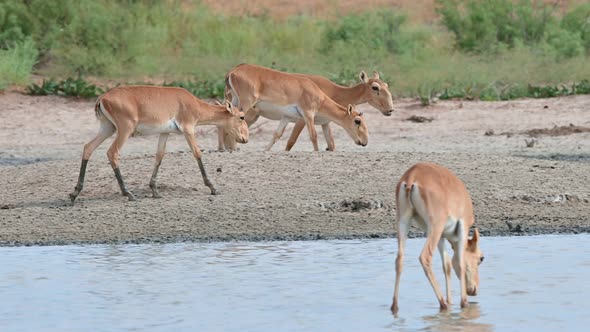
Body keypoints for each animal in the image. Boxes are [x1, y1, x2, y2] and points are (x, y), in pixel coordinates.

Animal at [69, 85, 250, 202]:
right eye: (241, 116)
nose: (245, 139)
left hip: (108, 128)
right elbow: (197, 153)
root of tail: (102, 98)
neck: (192, 103)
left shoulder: (165, 133)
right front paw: (213, 188)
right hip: (124, 130)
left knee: (88, 147)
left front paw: (155, 190)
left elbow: (159, 156)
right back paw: (128, 193)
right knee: (112, 153)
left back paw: (75, 193)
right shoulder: (188, 129)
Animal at [394, 163, 486, 314]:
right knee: (425, 257)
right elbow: (460, 263)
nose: (473, 290)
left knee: (399, 259)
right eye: (481, 258)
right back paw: (443, 303)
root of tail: (413, 174)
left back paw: (394, 307)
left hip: (404, 222)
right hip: (435, 227)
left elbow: (447, 265)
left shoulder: (442, 236)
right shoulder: (463, 227)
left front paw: (451, 302)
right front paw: (463, 302)